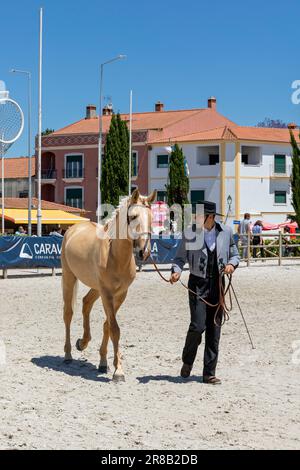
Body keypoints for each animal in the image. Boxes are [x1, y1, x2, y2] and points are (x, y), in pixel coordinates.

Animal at [60, 189, 155, 384]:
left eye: (151, 217)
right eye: (133, 216)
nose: (144, 252)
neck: (115, 255)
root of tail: (73, 229)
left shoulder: (120, 294)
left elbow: (107, 325)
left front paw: (104, 363)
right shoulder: (107, 294)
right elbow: (115, 329)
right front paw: (118, 371)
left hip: (96, 288)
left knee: (86, 303)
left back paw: (83, 342)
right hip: (69, 278)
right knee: (68, 314)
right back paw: (68, 354)